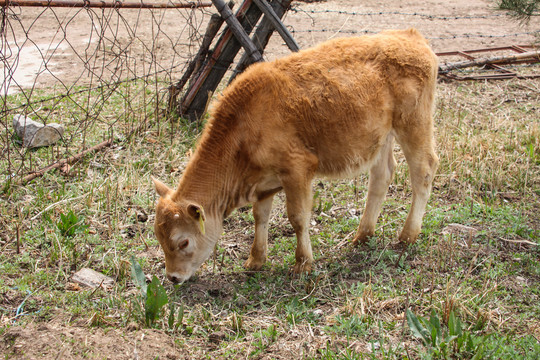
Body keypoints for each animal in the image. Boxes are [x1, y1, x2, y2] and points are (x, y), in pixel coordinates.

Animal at [152, 28, 438, 284]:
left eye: (183, 241)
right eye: (159, 238)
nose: (173, 277)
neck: (244, 124)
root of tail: (410, 36)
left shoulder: (298, 171)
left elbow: (298, 218)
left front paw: (302, 264)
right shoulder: (263, 184)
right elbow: (260, 217)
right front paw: (255, 260)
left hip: (414, 125)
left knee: (423, 171)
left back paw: (408, 235)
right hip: (382, 137)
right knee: (382, 175)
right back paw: (363, 235)